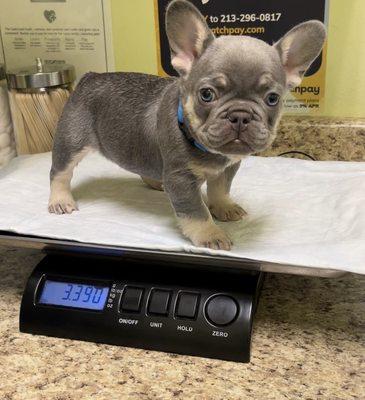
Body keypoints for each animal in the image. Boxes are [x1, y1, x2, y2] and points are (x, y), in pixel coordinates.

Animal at [47, 0, 324, 250]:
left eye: (272, 99)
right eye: (207, 94)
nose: (240, 116)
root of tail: (89, 77)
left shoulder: (227, 168)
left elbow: (220, 190)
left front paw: (224, 207)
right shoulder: (181, 180)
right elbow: (196, 211)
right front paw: (210, 234)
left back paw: (155, 182)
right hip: (71, 142)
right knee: (60, 173)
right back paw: (60, 200)